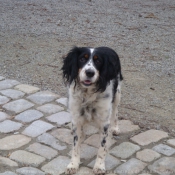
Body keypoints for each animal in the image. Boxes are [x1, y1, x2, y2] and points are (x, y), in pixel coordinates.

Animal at [62, 46, 122, 175]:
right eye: (82, 59)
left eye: (98, 61)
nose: (90, 72)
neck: (88, 93)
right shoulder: (77, 116)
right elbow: (75, 145)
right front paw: (73, 164)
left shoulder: (104, 123)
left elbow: (102, 148)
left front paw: (99, 166)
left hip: (117, 94)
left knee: (115, 111)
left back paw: (115, 128)